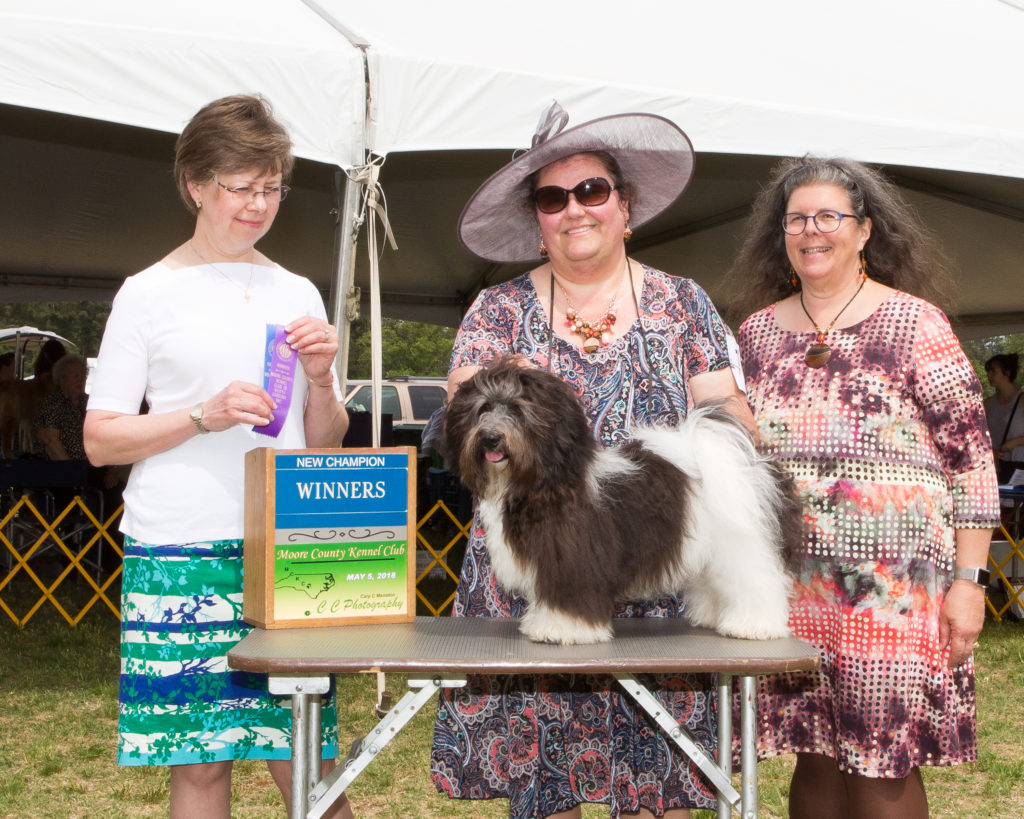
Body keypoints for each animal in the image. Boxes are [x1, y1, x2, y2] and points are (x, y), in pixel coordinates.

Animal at [444, 358, 802, 647]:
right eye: (483, 409)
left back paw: (754, 625)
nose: (491, 437)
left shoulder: (572, 561)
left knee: (758, 582)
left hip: (742, 545)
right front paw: (539, 623)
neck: (543, 482)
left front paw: (562, 629)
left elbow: (568, 596)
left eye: (518, 411)